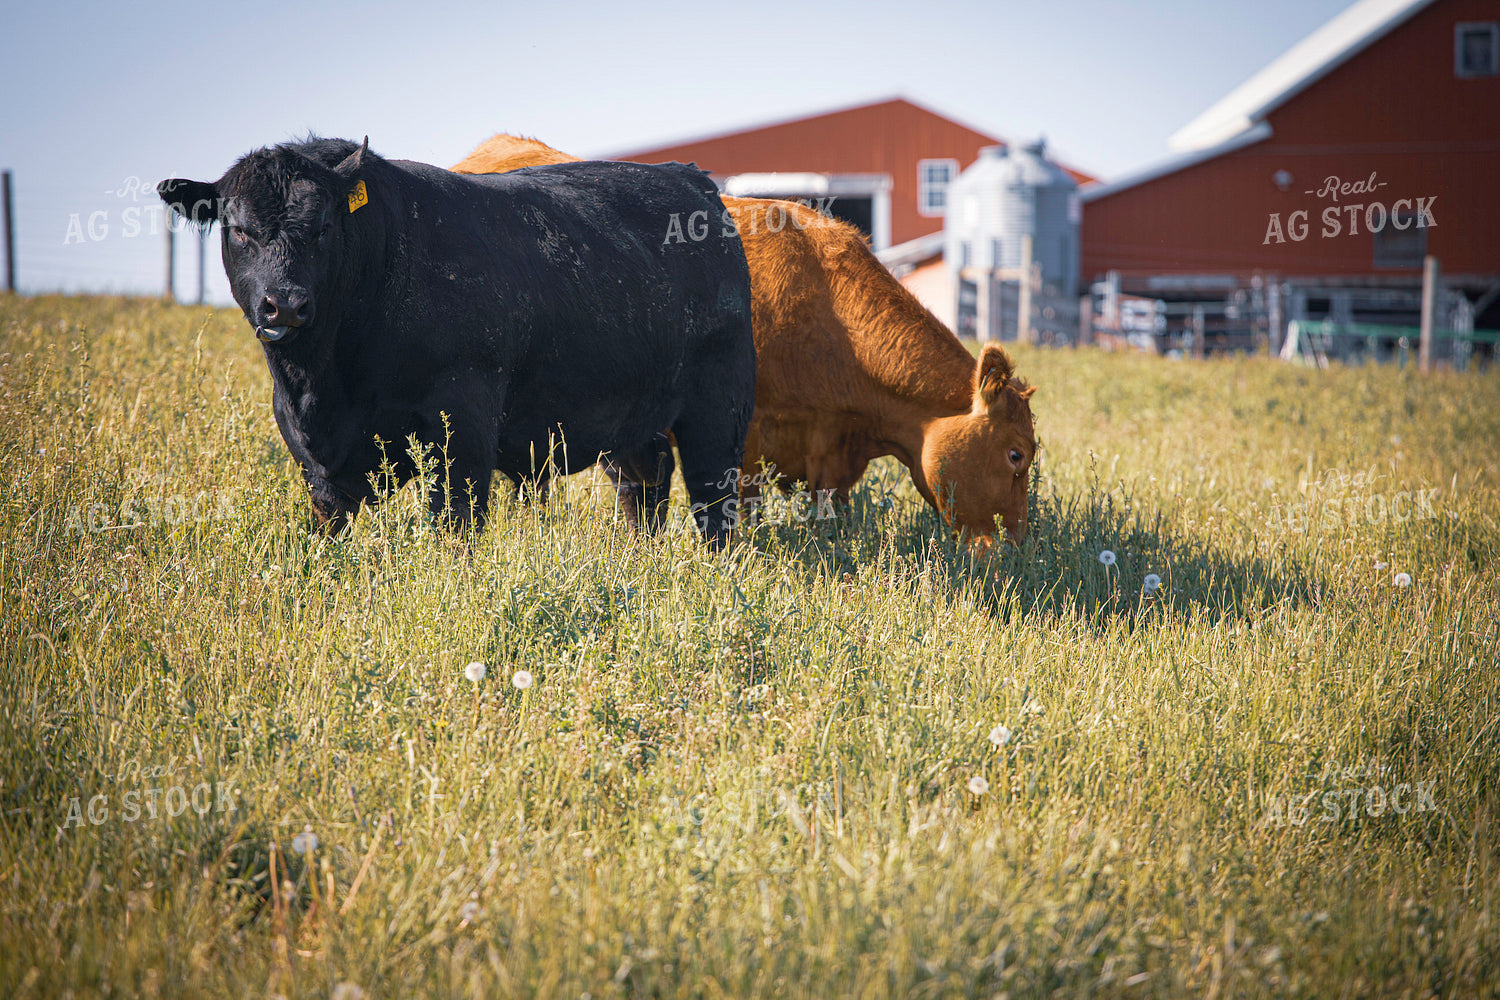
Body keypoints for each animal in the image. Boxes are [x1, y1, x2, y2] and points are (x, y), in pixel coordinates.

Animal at [158, 137, 755, 545]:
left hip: (718, 405)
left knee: (714, 503)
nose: (285, 304)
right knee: (643, 486)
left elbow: (454, 526)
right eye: (239, 230)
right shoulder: (317, 463)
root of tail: (690, 178)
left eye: (325, 227)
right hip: (629, 417)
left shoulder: (462, 426)